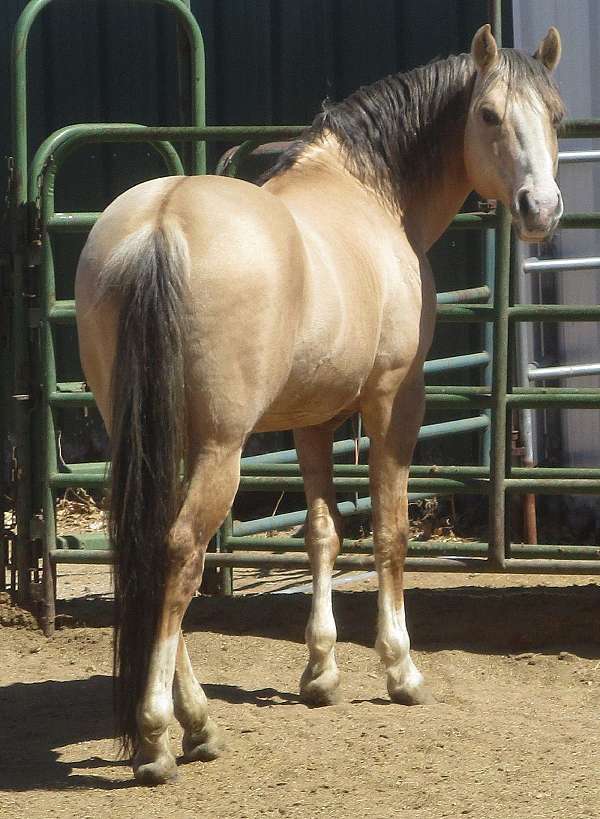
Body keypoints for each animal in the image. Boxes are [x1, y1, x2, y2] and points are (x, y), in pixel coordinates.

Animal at [75, 24, 565, 785]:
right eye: (489, 115)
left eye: (558, 115)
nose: (541, 208)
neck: (369, 190)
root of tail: (161, 223)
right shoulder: (396, 399)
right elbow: (389, 531)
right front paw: (401, 670)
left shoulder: (312, 422)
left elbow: (323, 533)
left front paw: (321, 672)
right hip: (220, 448)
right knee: (181, 554)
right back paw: (157, 738)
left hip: (155, 437)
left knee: (150, 548)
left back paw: (196, 722)